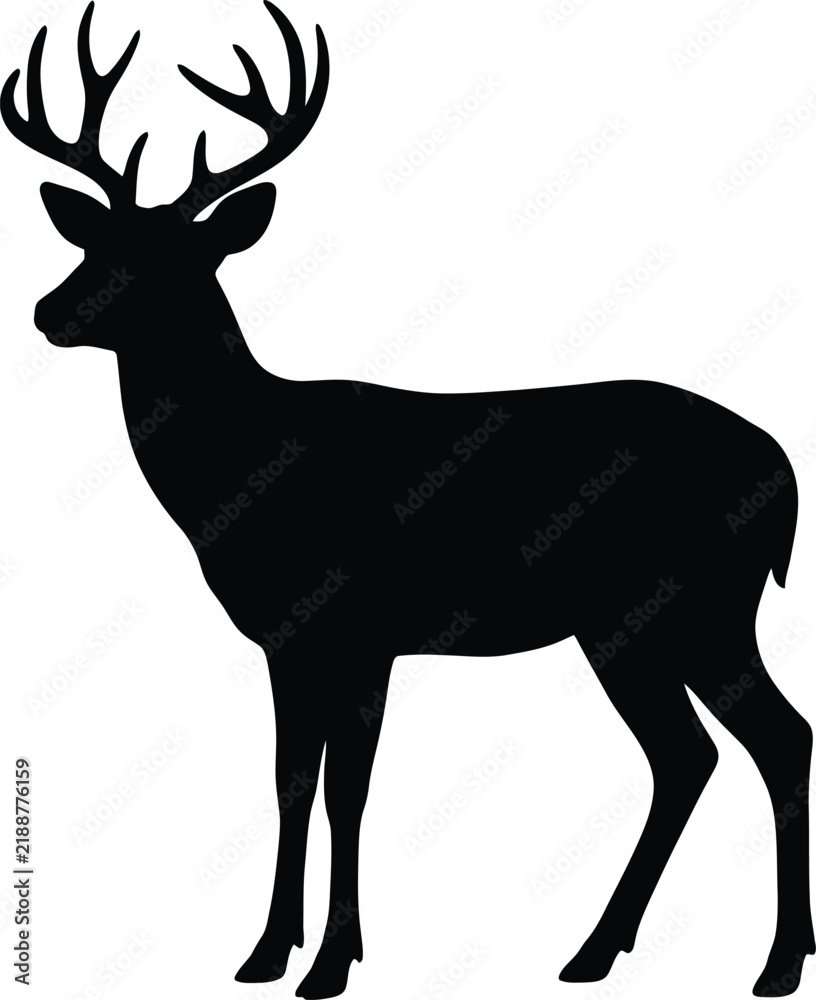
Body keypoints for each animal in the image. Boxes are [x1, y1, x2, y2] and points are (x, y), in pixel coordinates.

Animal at [3, 2, 813, 997]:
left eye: (179, 258)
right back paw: (600, 951)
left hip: (698, 603)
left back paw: (772, 963)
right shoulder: (289, 639)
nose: (47, 311)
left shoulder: (361, 627)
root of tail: (785, 473)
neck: (246, 473)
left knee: (771, 739)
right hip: (637, 622)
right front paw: (265, 953)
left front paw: (331, 963)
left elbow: (348, 789)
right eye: (93, 241)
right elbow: (291, 781)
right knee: (694, 754)